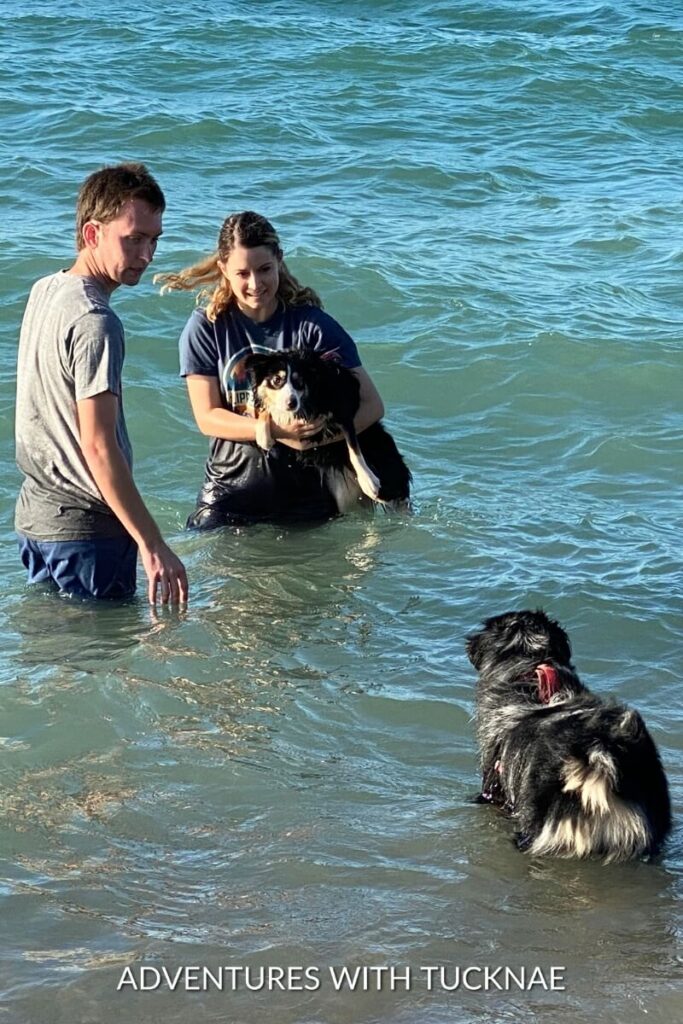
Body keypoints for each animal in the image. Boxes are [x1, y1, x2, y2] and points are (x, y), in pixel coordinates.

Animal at [244, 350, 411, 512]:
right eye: (276, 380)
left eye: (300, 381)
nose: (292, 403)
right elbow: (263, 410)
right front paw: (263, 436)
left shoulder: (342, 409)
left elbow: (353, 448)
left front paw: (368, 481)